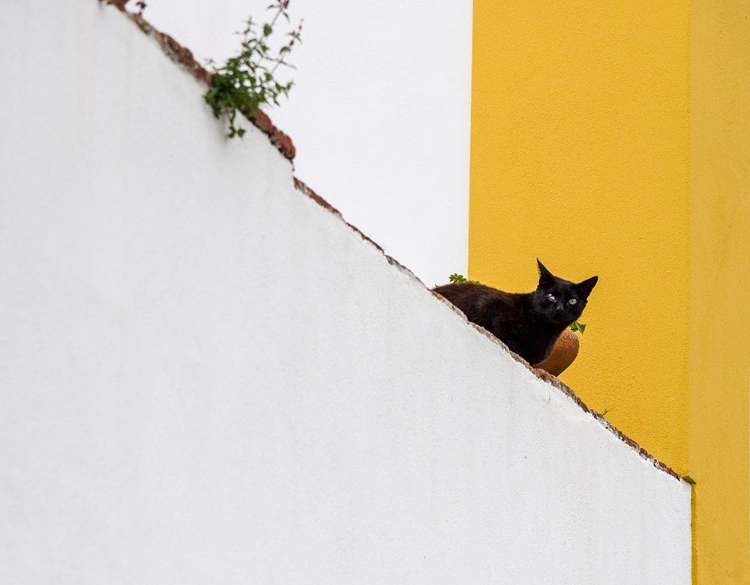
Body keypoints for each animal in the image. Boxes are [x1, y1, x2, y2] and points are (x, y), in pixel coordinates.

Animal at [434, 262, 600, 364]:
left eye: (572, 301)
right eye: (551, 296)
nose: (559, 308)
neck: (545, 331)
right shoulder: (491, 306)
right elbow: (511, 340)